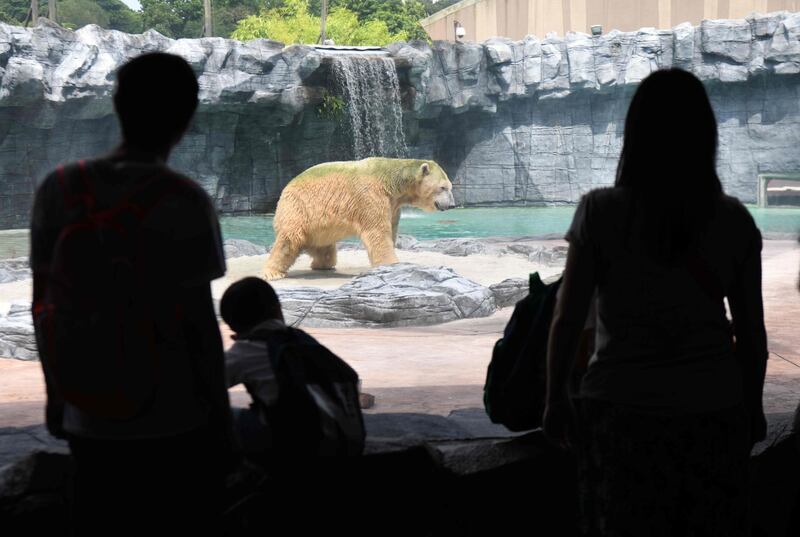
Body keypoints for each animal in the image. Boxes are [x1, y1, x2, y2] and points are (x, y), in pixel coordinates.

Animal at [260, 156, 454, 278]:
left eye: (449, 186)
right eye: (443, 187)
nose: (451, 205)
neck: (391, 182)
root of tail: (286, 188)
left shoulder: (393, 204)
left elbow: (391, 229)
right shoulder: (370, 196)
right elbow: (377, 232)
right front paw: (391, 264)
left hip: (318, 226)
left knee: (324, 247)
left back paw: (323, 264)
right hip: (299, 208)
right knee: (289, 239)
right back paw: (273, 272)